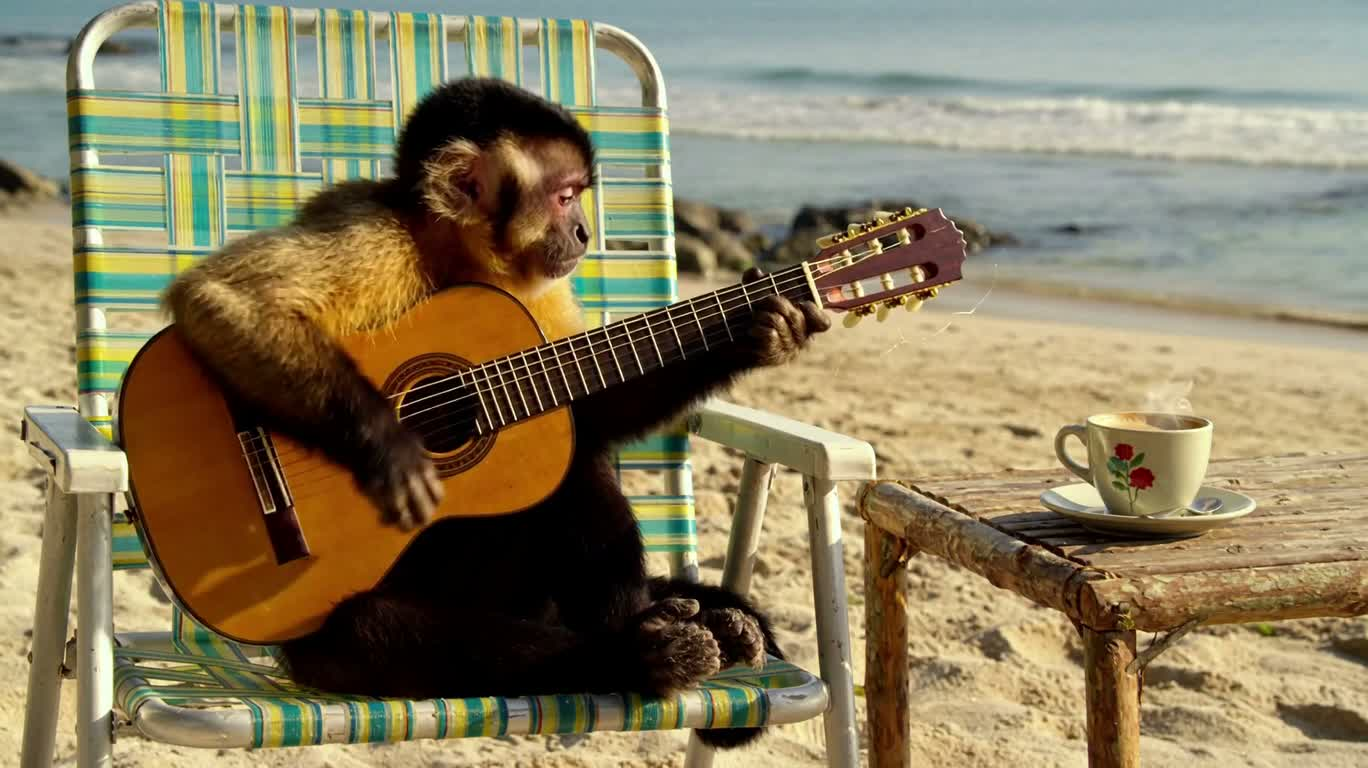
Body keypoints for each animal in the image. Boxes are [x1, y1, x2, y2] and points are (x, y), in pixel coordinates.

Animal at [161, 77, 831, 750]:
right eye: (565, 197)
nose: (584, 233)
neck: (450, 257)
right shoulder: (366, 232)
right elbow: (223, 297)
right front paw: (391, 448)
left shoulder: (542, 293)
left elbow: (582, 418)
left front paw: (764, 329)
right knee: (371, 627)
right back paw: (639, 653)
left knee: (577, 471)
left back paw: (687, 623)